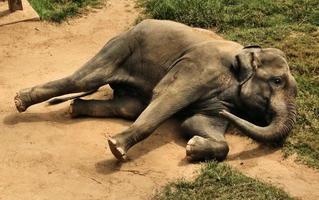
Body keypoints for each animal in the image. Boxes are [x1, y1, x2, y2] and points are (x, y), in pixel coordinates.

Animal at [13, 19, 298, 162]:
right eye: (277, 81)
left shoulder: (220, 98)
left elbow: (196, 122)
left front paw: (192, 148)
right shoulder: (199, 68)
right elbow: (169, 98)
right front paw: (116, 148)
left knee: (129, 106)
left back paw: (74, 108)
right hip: (121, 46)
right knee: (84, 80)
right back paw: (19, 101)